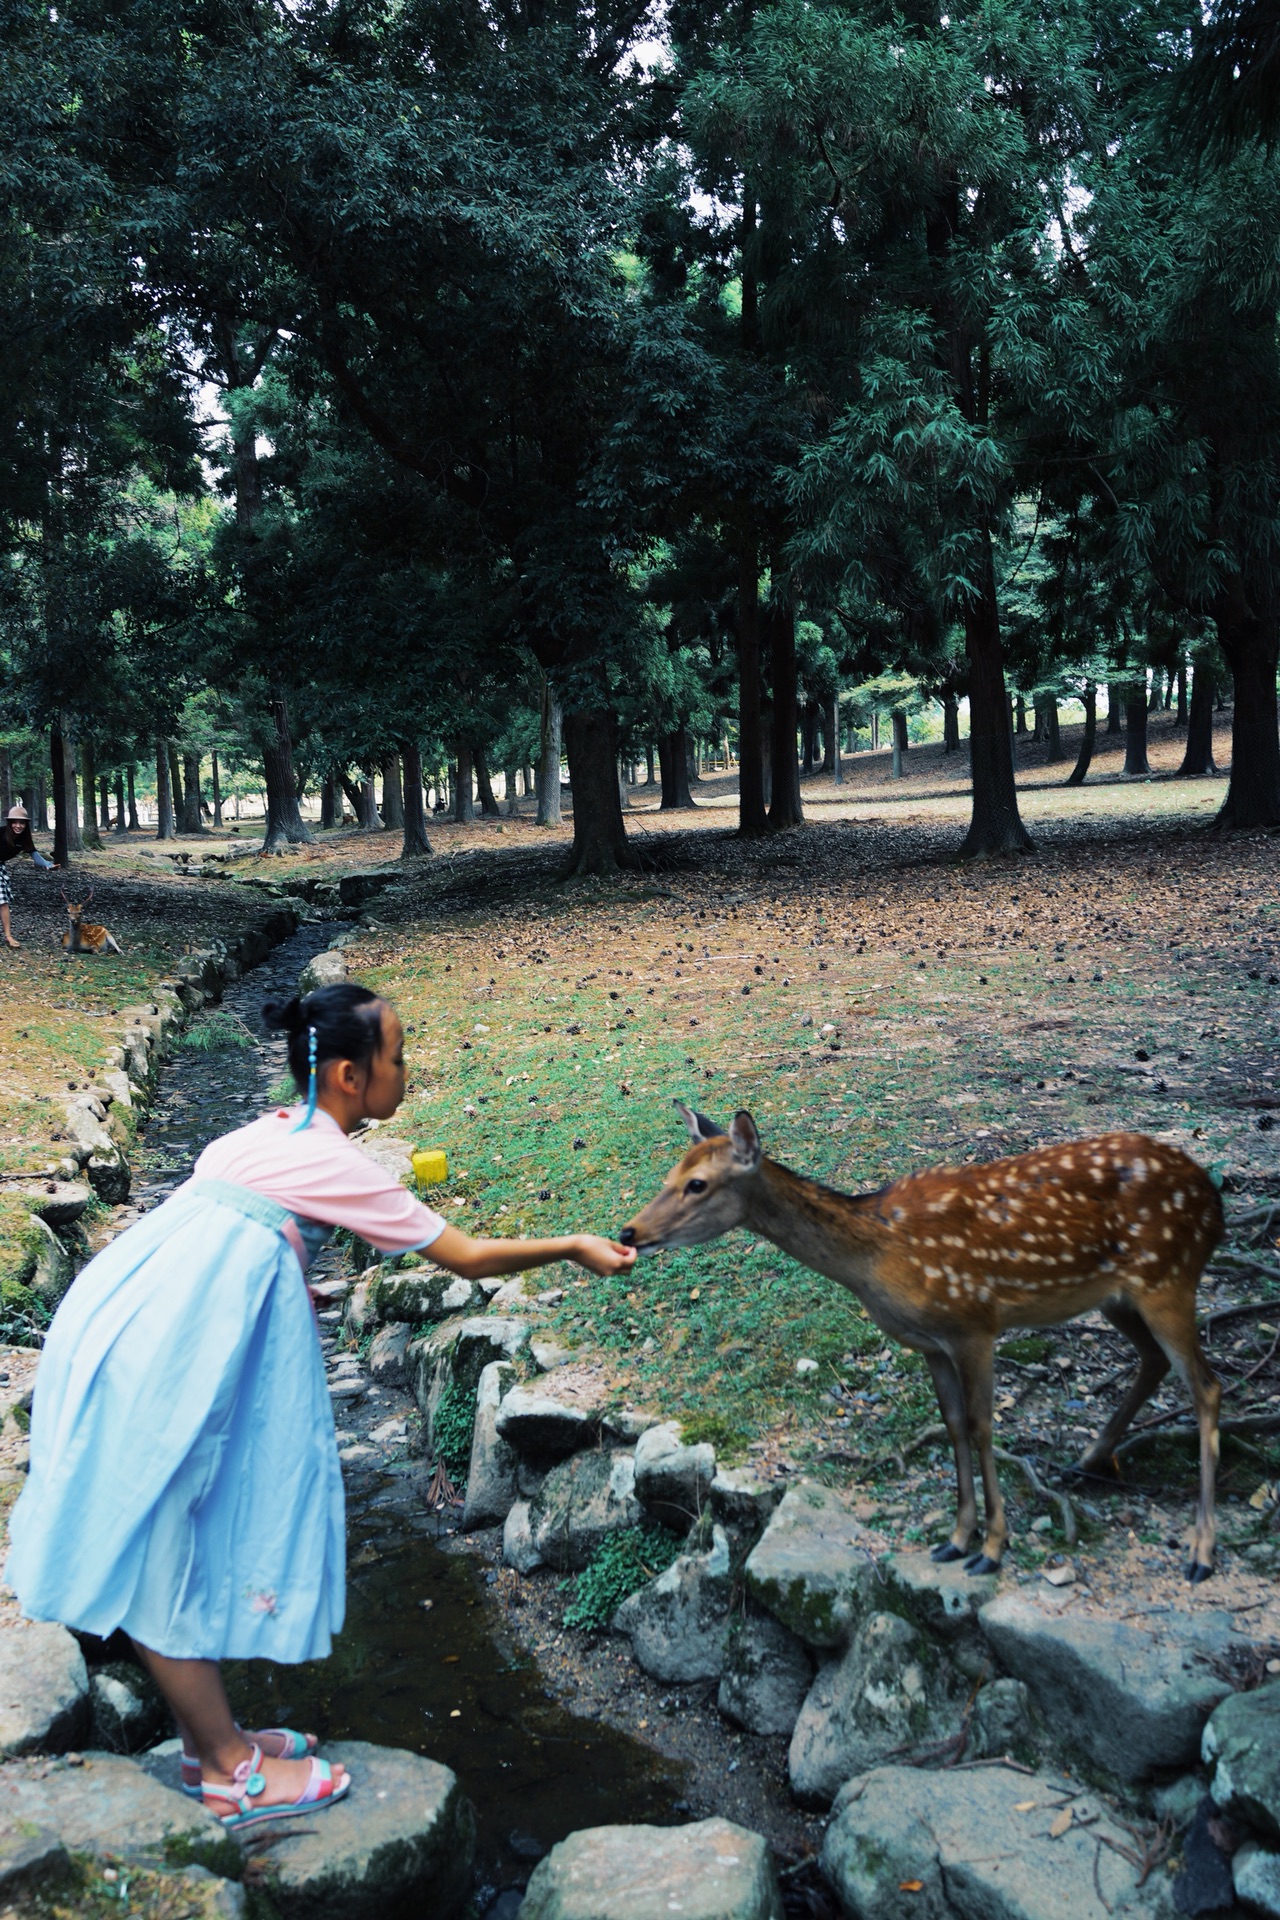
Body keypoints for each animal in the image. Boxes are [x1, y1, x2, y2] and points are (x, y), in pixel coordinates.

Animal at [625, 1105, 1228, 1582]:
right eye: (670, 1172)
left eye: (698, 1183)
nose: (630, 1232)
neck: (876, 1261)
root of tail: (1213, 1198)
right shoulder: (931, 1343)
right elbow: (954, 1425)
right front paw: (956, 1539)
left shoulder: (974, 1323)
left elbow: (983, 1427)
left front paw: (992, 1548)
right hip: (1118, 1297)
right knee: (1154, 1361)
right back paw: (1090, 1459)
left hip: (1168, 1276)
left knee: (1207, 1385)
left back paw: (1201, 1550)